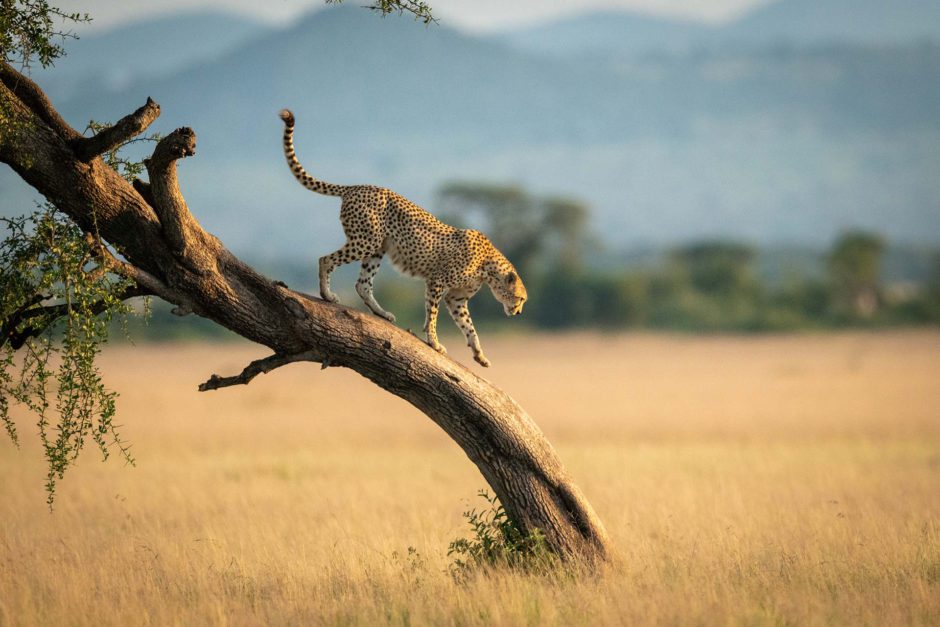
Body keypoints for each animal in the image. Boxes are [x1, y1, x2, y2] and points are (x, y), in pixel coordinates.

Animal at [280, 109, 528, 368]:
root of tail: (357, 187)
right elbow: (433, 315)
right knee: (326, 260)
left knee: (363, 284)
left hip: (377, 248)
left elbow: (469, 326)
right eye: (520, 298)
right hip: (365, 241)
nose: (518, 312)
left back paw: (381, 313)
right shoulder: (437, 282)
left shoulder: (456, 298)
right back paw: (327, 295)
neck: (488, 267)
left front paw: (479, 354)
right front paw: (434, 342)